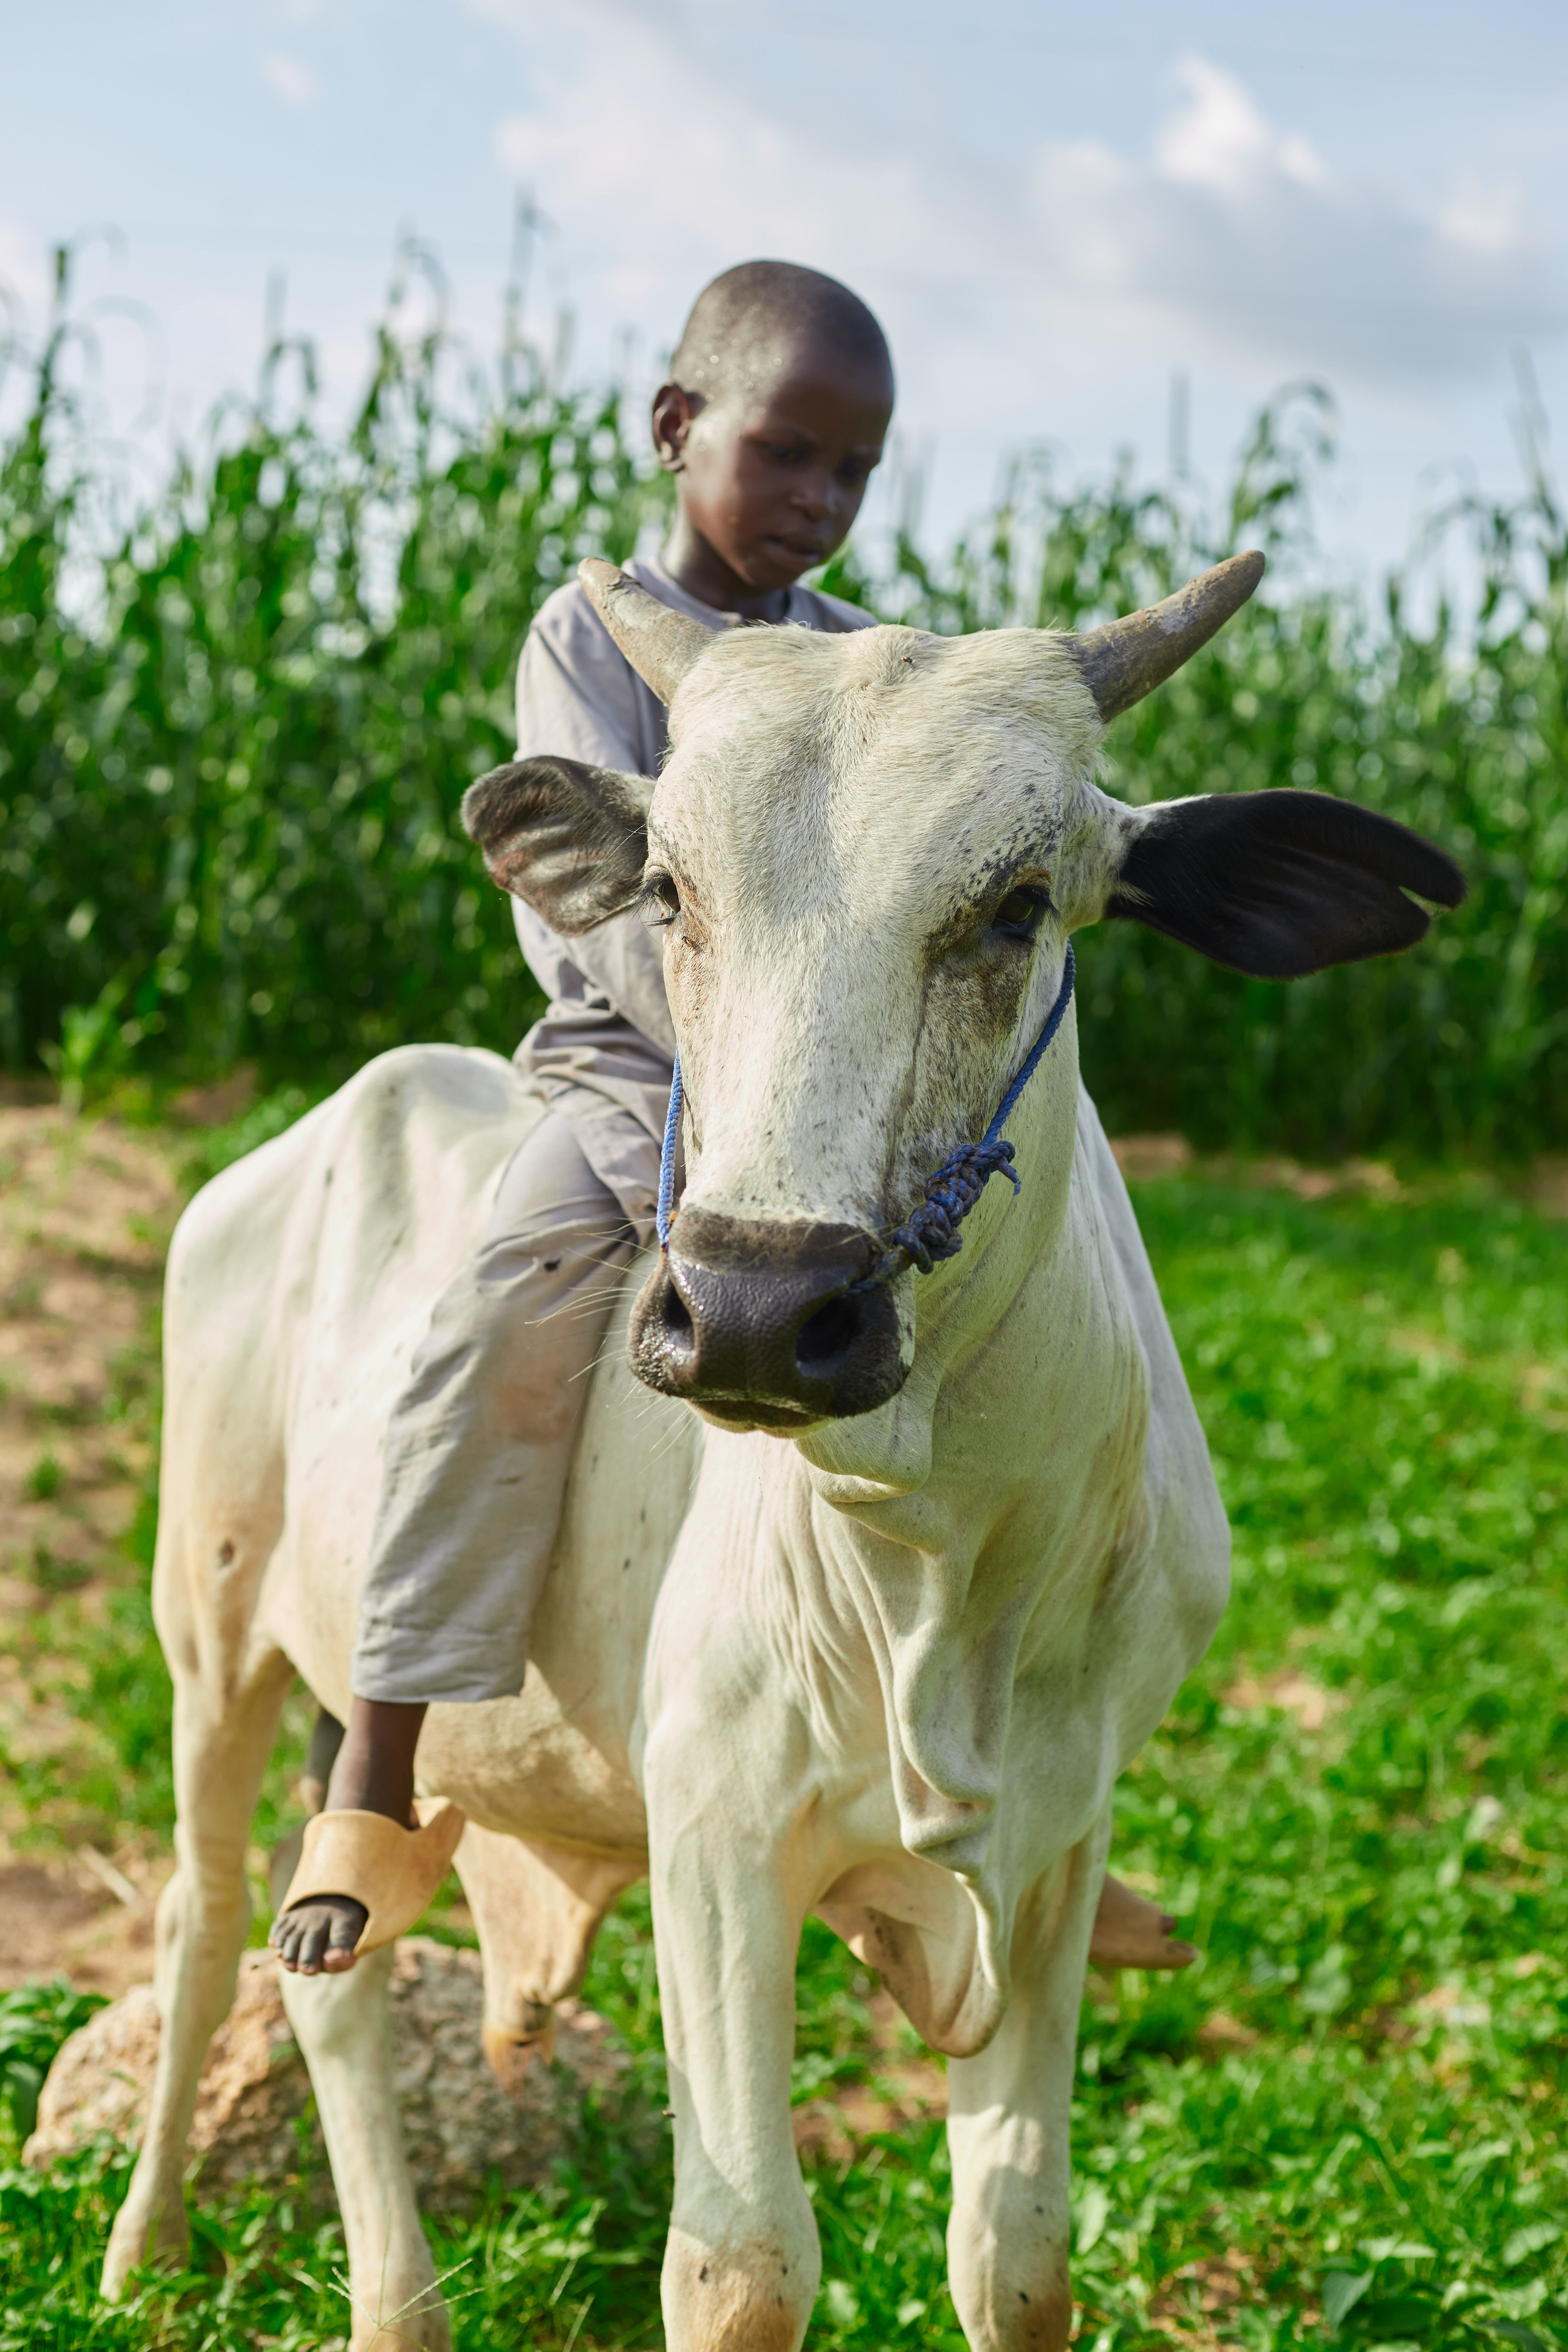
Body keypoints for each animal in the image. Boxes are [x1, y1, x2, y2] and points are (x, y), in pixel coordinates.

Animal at [101, 552, 1463, 2350]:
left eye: (1019, 906)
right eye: (670, 893)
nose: (757, 1311)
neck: (939, 1569)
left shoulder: (1062, 1842)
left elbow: (1018, 2257)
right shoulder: (718, 1832)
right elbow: (741, 2264)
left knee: (337, 1963)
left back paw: (395, 2304)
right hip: (214, 1629)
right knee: (201, 1924)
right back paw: (146, 2245)